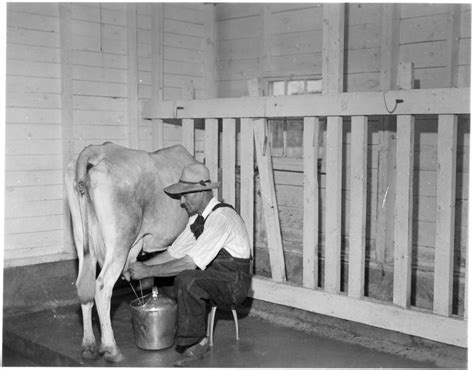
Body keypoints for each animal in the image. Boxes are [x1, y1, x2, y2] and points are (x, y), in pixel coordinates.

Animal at [65, 142, 196, 362]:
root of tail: (97, 149)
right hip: (120, 241)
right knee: (101, 286)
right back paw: (111, 349)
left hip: (82, 238)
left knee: (85, 286)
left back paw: (88, 346)